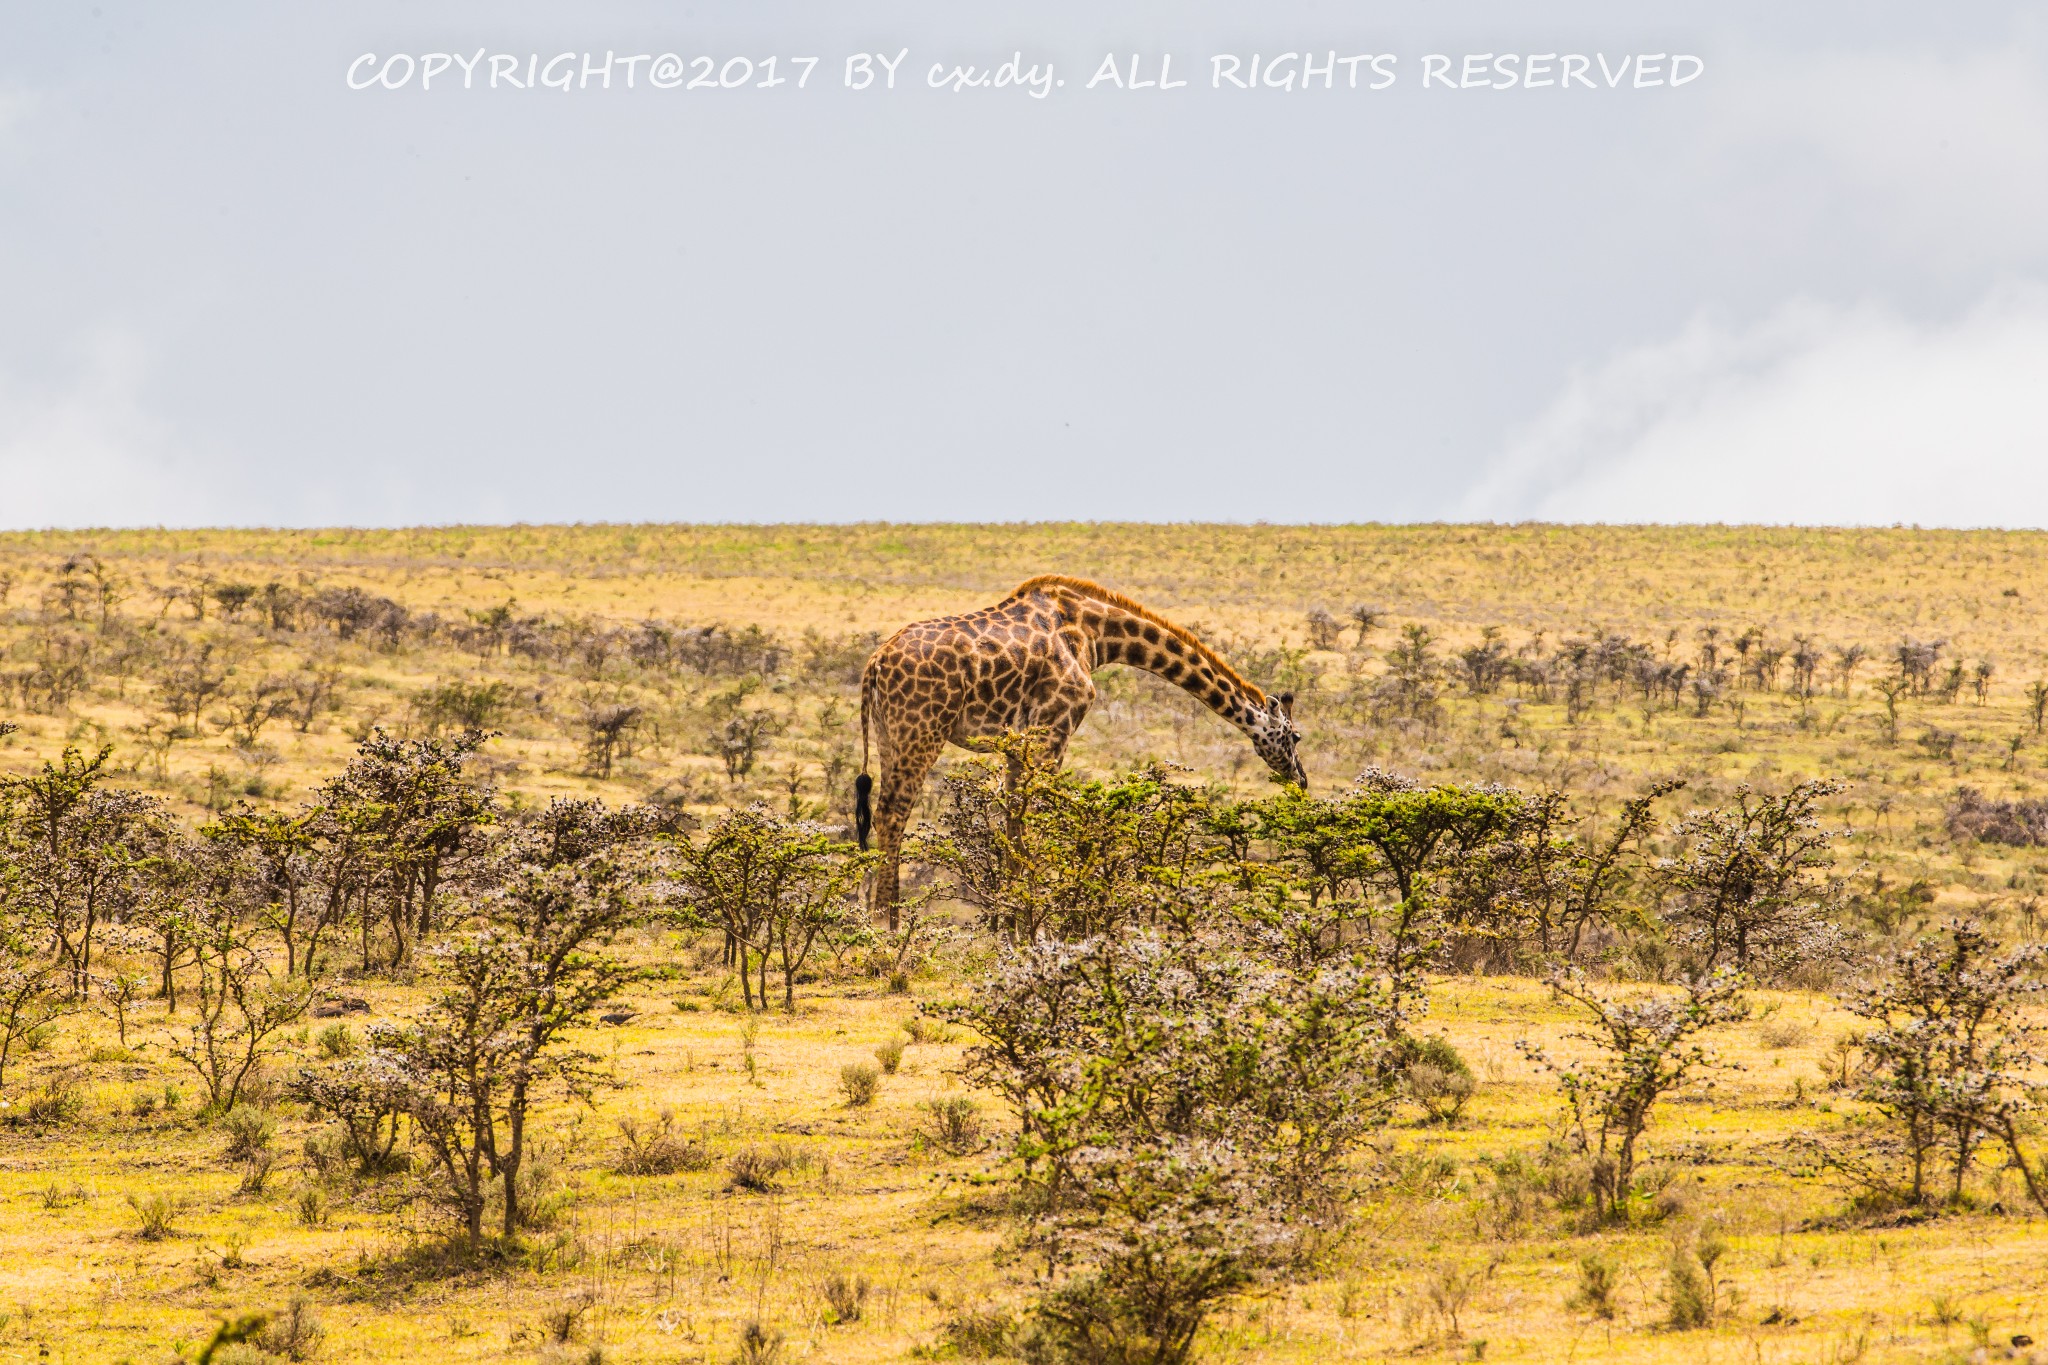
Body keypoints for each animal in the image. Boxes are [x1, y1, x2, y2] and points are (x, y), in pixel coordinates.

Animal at [851, 573, 1302, 925]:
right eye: (1295, 737)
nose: (1301, 779)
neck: (1094, 633)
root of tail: (874, 663)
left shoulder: (1021, 740)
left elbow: (1014, 821)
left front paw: (1012, 918)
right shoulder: (1056, 725)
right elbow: (1035, 817)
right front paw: (1033, 921)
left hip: (890, 734)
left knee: (885, 812)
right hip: (922, 729)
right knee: (893, 811)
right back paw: (886, 924)